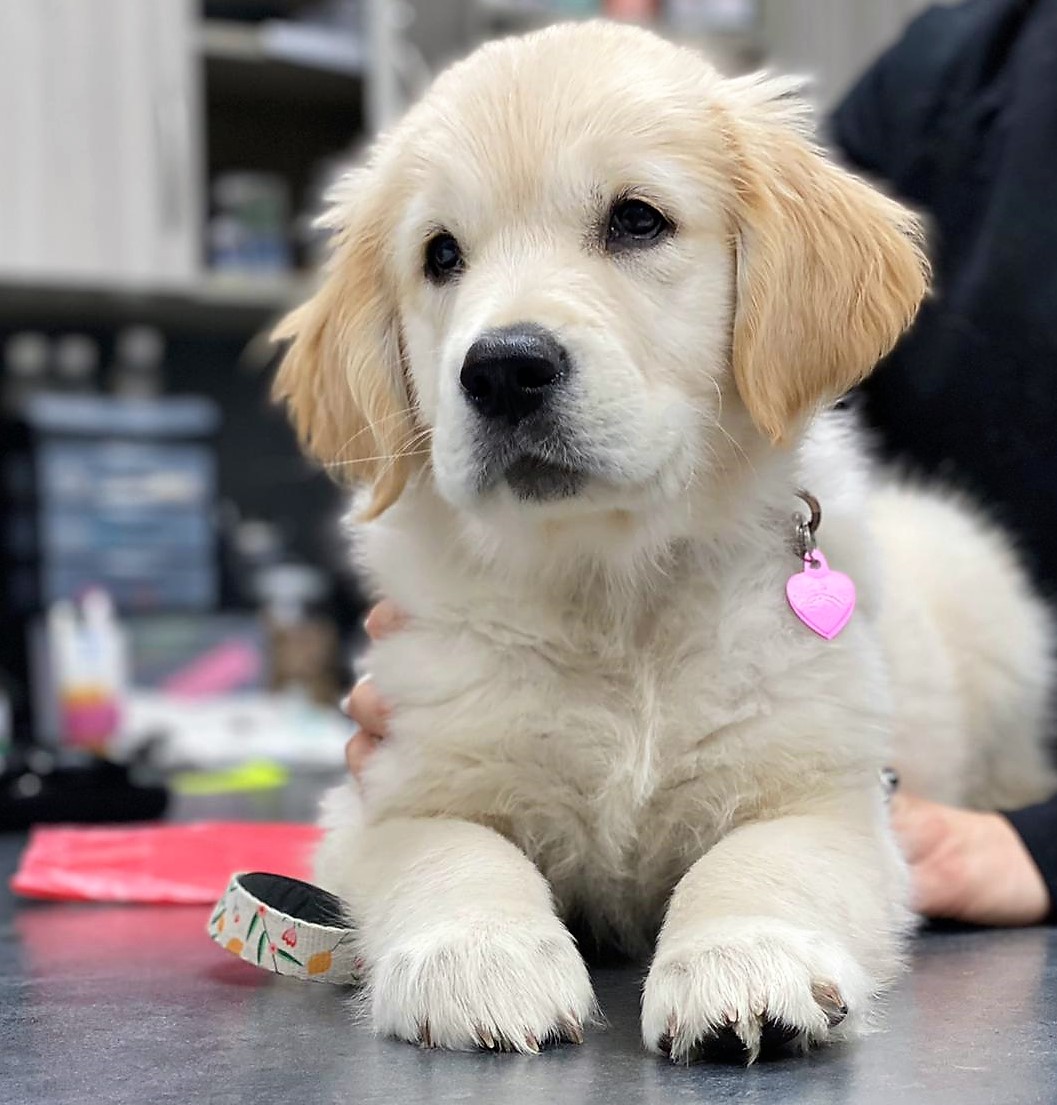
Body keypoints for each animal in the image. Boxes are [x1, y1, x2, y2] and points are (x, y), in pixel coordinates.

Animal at [270, 23, 1047, 1060]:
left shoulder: (829, 793)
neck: (614, 584)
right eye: (440, 254)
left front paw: (743, 959)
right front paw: (477, 957)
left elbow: (757, 859)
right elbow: (451, 846)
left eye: (636, 221)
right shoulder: (386, 786)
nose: (502, 369)